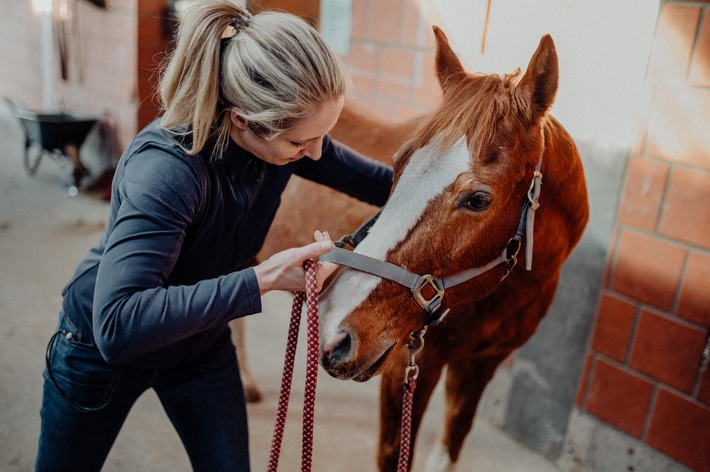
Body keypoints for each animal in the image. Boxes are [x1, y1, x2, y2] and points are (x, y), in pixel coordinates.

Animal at [318, 27, 588, 470]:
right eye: (398, 163)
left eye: (478, 199)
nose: (331, 330)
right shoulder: (408, 366)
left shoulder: (478, 366)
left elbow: (451, 445)